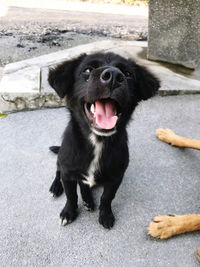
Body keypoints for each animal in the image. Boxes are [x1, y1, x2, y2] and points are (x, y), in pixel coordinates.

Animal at [47, 52, 159, 230]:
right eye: (87, 70)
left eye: (127, 74)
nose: (113, 76)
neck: (97, 142)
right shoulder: (68, 173)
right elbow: (71, 196)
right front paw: (68, 212)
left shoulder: (115, 178)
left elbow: (107, 198)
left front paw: (105, 215)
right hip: (61, 162)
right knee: (58, 172)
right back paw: (56, 187)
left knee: (84, 185)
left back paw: (88, 200)